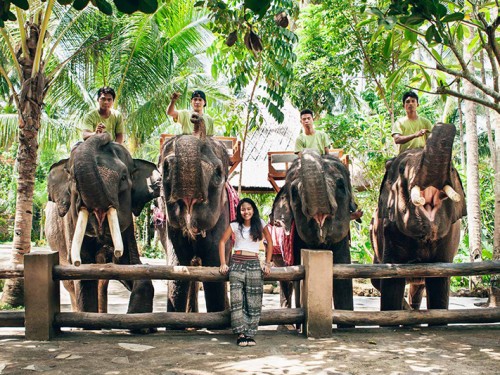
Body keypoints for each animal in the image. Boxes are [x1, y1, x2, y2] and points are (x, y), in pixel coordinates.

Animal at [45, 134, 160, 316]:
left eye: (123, 178)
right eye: (74, 180)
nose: (101, 134)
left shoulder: (128, 231)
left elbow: (131, 265)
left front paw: (138, 319)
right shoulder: (70, 225)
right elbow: (83, 275)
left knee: (102, 282)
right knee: (70, 286)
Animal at [158, 114, 232, 314]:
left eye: (218, 172)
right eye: (165, 169)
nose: (195, 117)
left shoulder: (222, 221)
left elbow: (215, 272)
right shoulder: (171, 231)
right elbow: (177, 269)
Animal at [272, 149, 358, 326]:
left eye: (341, 186)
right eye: (294, 193)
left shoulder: (343, 241)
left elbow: (343, 280)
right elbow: (298, 277)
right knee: (284, 280)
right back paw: (286, 324)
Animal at [370, 122, 466, 312]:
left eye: (452, 169)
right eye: (402, 169)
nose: (443, 124)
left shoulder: (450, 236)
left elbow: (439, 282)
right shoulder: (388, 229)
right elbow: (391, 281)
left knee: (418, 285)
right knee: (376, 280)